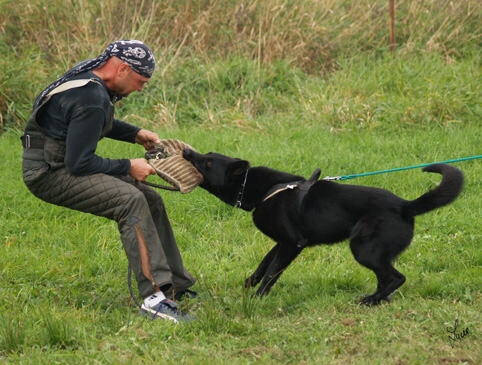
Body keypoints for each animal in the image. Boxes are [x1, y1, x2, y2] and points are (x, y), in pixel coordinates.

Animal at [180, 149, 464, 304]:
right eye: (206, 155)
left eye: (207, 162)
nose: (186, 152)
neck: (258, 189)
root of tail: (406, 206)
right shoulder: (282, 243)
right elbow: (264, 263)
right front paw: (249, 283)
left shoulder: (292, 243)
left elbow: (272, 272)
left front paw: (257, 298)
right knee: (387, 278)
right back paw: (377, 300)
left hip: (364, 249)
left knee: (396, 277)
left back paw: (370, 301)